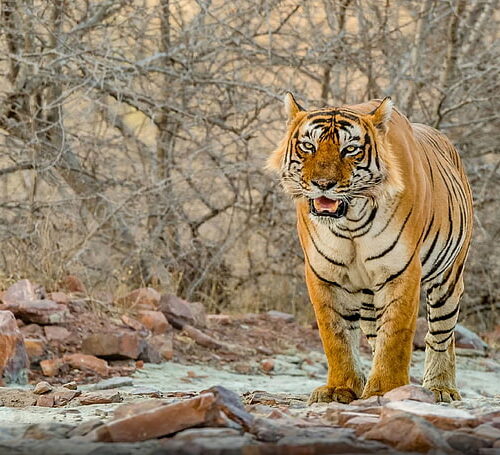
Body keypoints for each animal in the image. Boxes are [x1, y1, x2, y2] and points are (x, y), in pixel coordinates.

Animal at [266, 91, 472, 402]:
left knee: (441, 335)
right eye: (308, 146)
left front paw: (386, 389)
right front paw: (340, 388)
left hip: (448, 279)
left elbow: (396, 334)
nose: (322, 184)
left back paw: (441, 387)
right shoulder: (324, 274)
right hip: (366, 296)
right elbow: (336, 335)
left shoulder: (400, 270)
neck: (351, 221)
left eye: (350, 149)